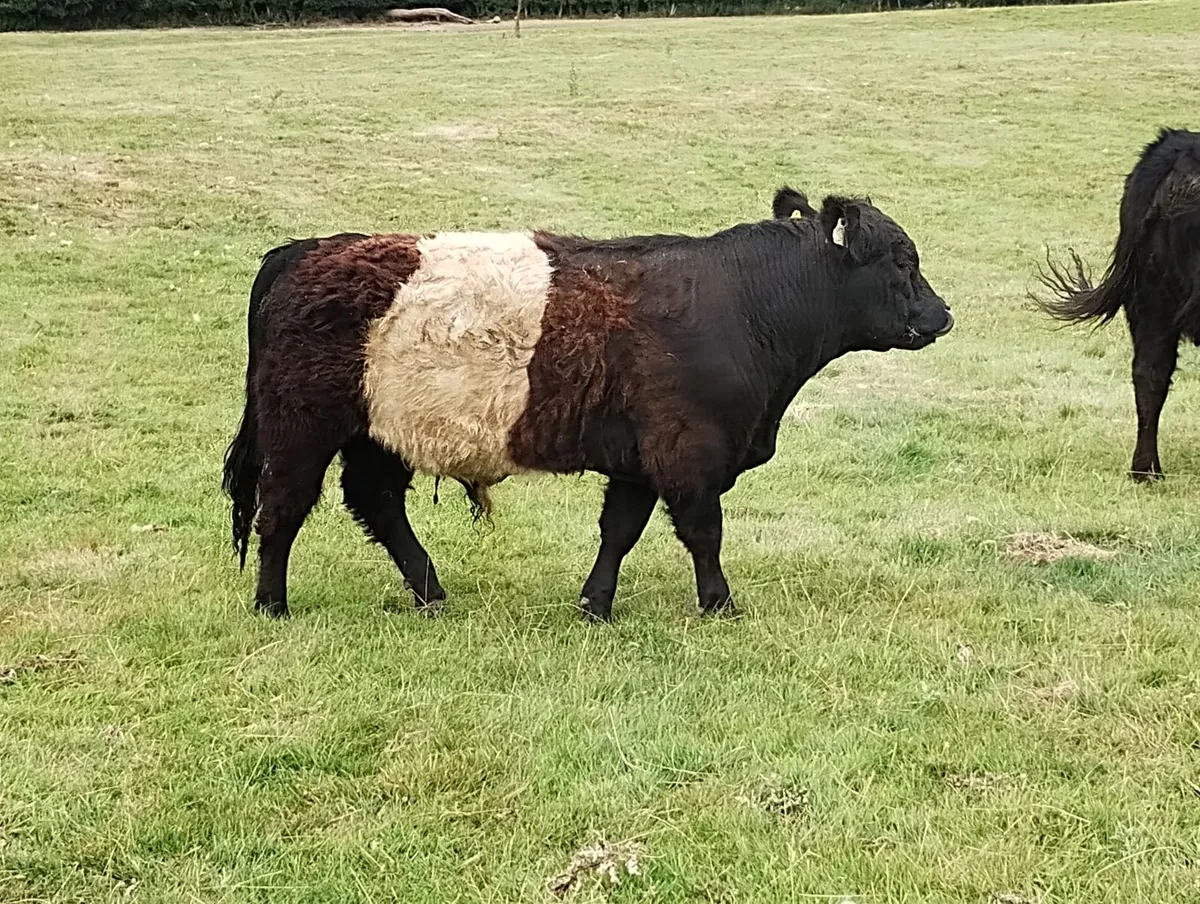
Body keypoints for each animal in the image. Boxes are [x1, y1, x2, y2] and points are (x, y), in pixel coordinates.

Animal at [222, 189, 953, 621]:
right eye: (902, 260)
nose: (943, 315)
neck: (747, 306)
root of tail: (303, 250)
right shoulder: (689, 452)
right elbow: (704, 531)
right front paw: (719, 605)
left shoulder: (638, 461)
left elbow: (619, 531)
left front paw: (595, 604)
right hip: (301, 429)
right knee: (282, 510)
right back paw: (272, 604)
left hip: (380, 432)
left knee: (375, 504)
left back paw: (431, 592)